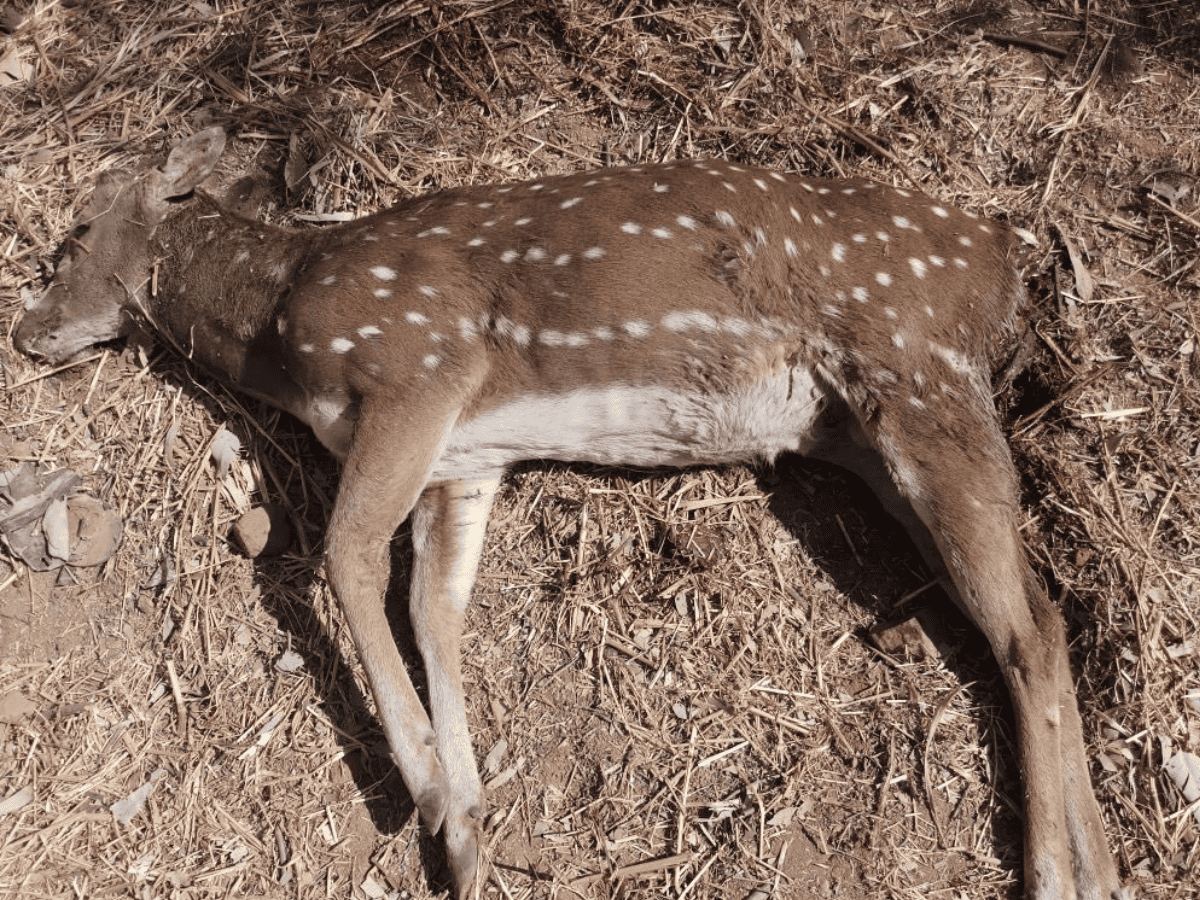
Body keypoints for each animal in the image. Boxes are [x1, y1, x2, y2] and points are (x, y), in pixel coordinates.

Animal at [14, 128, 1128, 900]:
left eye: (75, 235)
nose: (26, 331)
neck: (281, 328)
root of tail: (1001, 259)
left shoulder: (416, 366)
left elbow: (343, 555)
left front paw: (426, 793)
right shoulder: (467, 462)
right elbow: (433, 609)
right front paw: (465, 831)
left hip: (918, 373)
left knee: (1028, 623)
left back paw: (1054, 872)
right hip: (868, 431)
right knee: (1033, 619)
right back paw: (1102, 867)